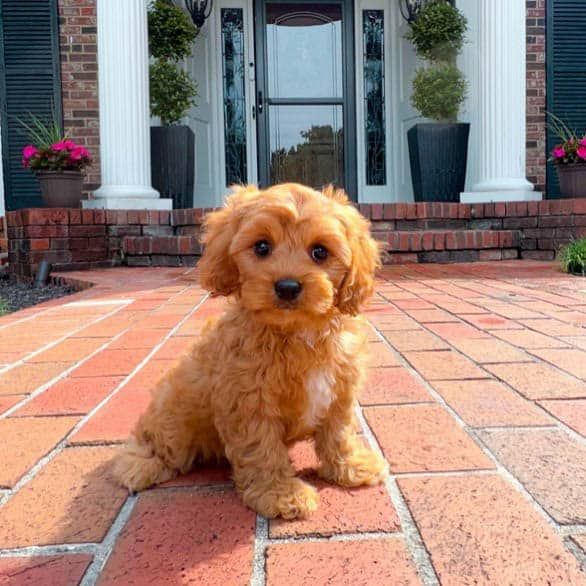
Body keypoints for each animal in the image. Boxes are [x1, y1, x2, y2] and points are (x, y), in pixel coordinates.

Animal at [114, 181, 388, 516]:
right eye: (261, 247)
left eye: (320, 251)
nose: (287, 286)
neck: (297, 332)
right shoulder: (248, 403)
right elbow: (262, 449)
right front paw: (281, 494)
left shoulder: (339, 391)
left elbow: (339, 433)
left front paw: (350, 467)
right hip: (174, 419)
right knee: (154, 441)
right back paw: (140, 465)